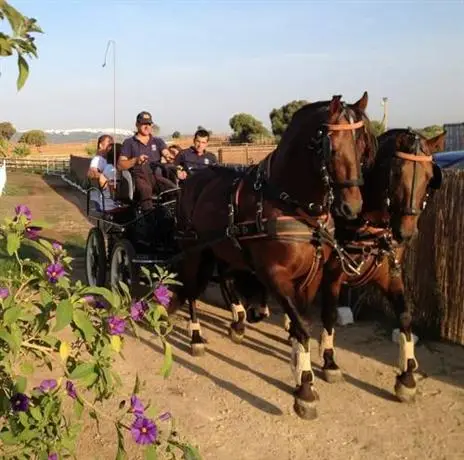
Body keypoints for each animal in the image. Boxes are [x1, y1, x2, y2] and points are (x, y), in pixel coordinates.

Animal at [169, 92, 376, 420]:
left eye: (364, 144)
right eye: (330, 145)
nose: (352, 208)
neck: (293, 205)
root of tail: (191, 180)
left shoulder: (311, 276)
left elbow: (303, 322)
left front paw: (300, 365)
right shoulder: (275, 274)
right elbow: (302, 325)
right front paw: (305, 388)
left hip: (224, 249)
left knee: (226, 279)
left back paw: (238, 322)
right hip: (194, 251)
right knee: (190, 291)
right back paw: (197, 337)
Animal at [314, 126, 444, 402]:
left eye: (430, 177)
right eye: (395, 173)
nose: (406, 233)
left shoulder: (390, 275)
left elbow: (404, 316)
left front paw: (407, 376)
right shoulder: (331, 275)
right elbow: (329, 314)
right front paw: (329, 361)